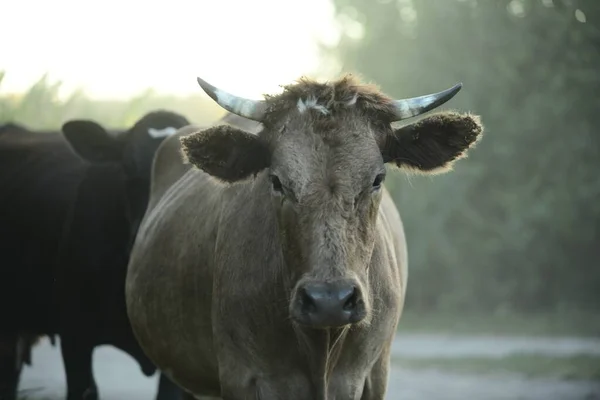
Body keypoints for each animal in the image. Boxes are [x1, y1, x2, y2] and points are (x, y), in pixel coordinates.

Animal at [126, 74, 482, 396]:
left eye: (377, 179)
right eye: (276, 181)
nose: (329, 301)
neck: (320, 348)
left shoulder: (372, 375)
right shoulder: (242, 375)